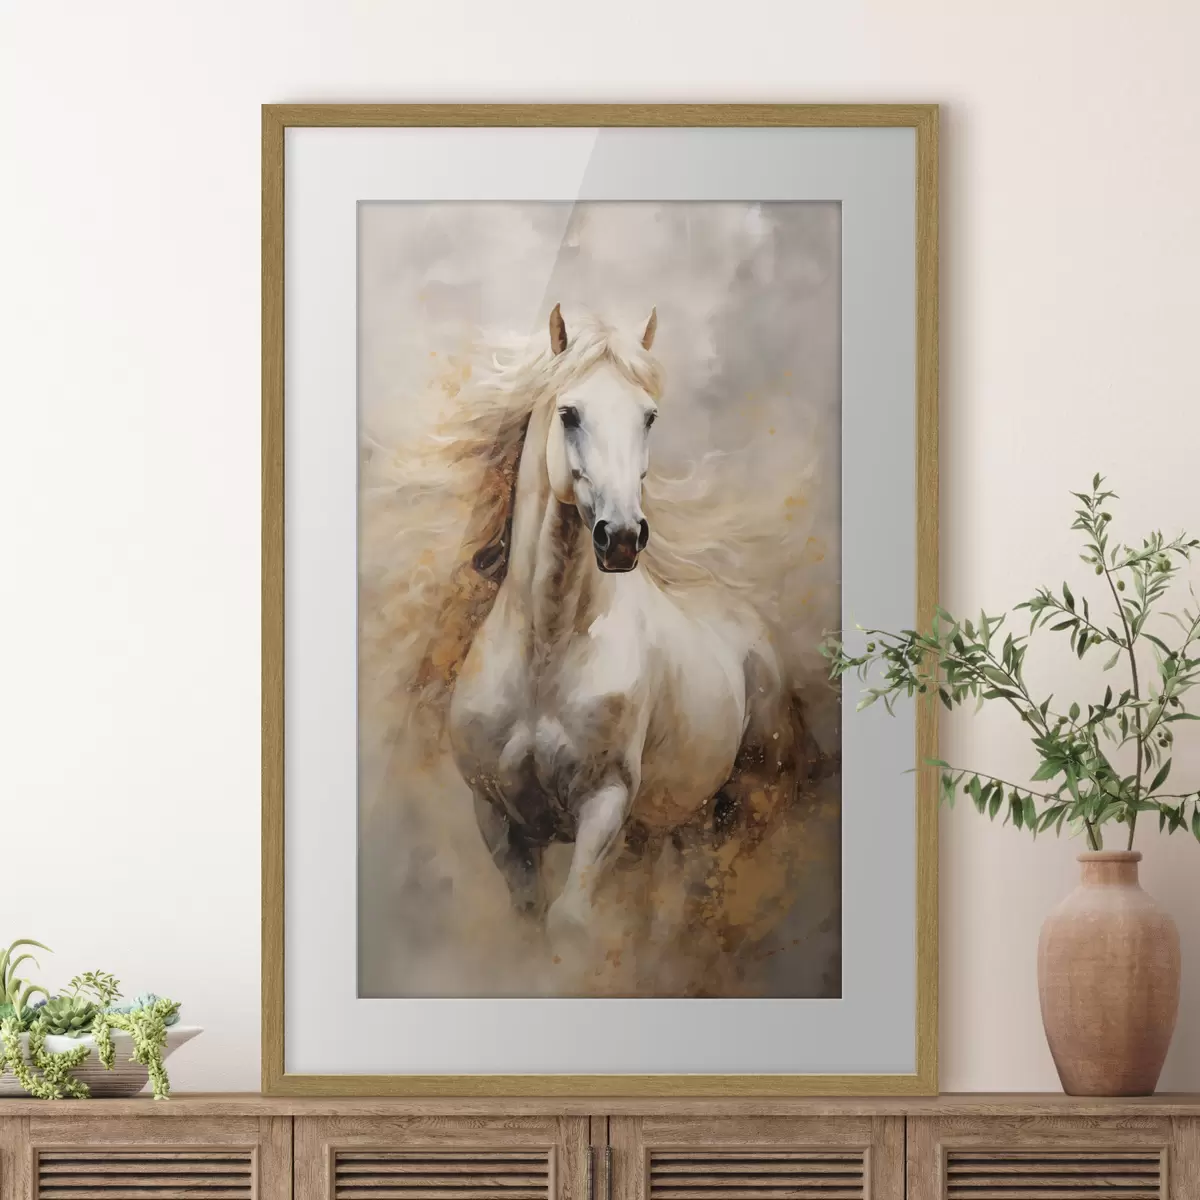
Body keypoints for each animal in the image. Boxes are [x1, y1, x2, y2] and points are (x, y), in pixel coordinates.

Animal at [438, 305, 825, 944]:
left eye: (649, 416)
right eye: (568, 413)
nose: (620, 537)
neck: (547, 651)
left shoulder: (606, 803)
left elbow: (570, 923)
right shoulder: (498, 819)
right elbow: (531, 923)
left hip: (740, 807)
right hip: (672, 825)